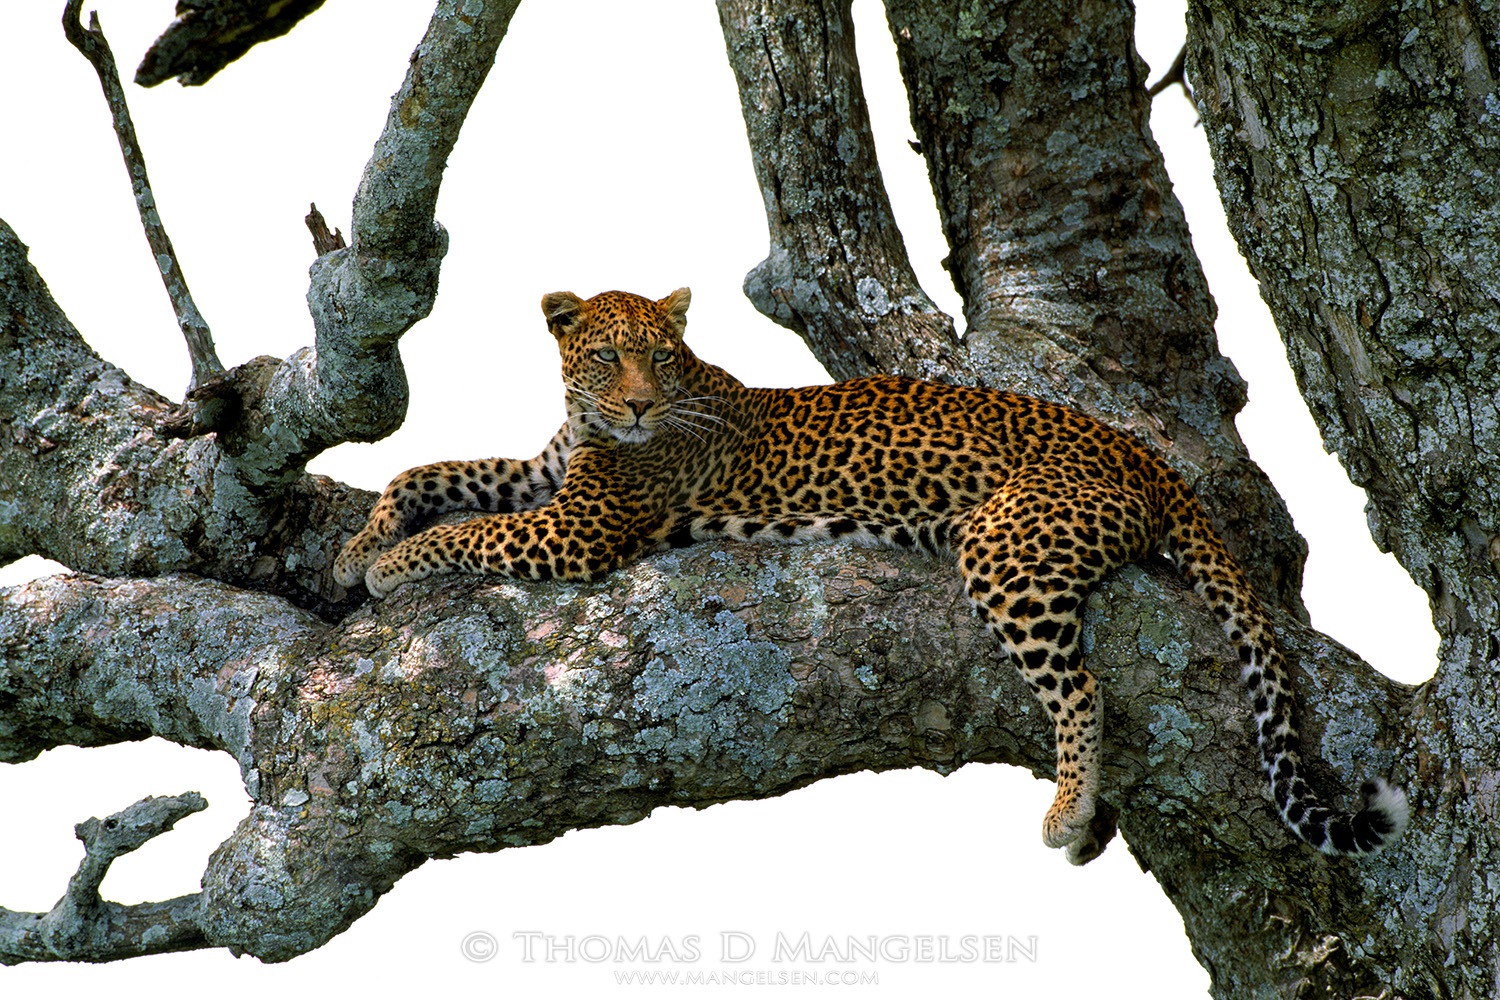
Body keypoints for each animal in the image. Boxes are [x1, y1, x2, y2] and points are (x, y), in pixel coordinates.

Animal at [334, 286, 1409, 864]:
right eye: (605, 357)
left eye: (659, 358)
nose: (638, 407)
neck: (595, 425)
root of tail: (1145, 456)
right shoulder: (546, 476)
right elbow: (432, 473)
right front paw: (359, 545)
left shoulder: (577, 527)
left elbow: (469, 532)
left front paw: (387, 567)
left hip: (1007, 547)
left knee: (1084, 686)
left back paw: (1068, 807)